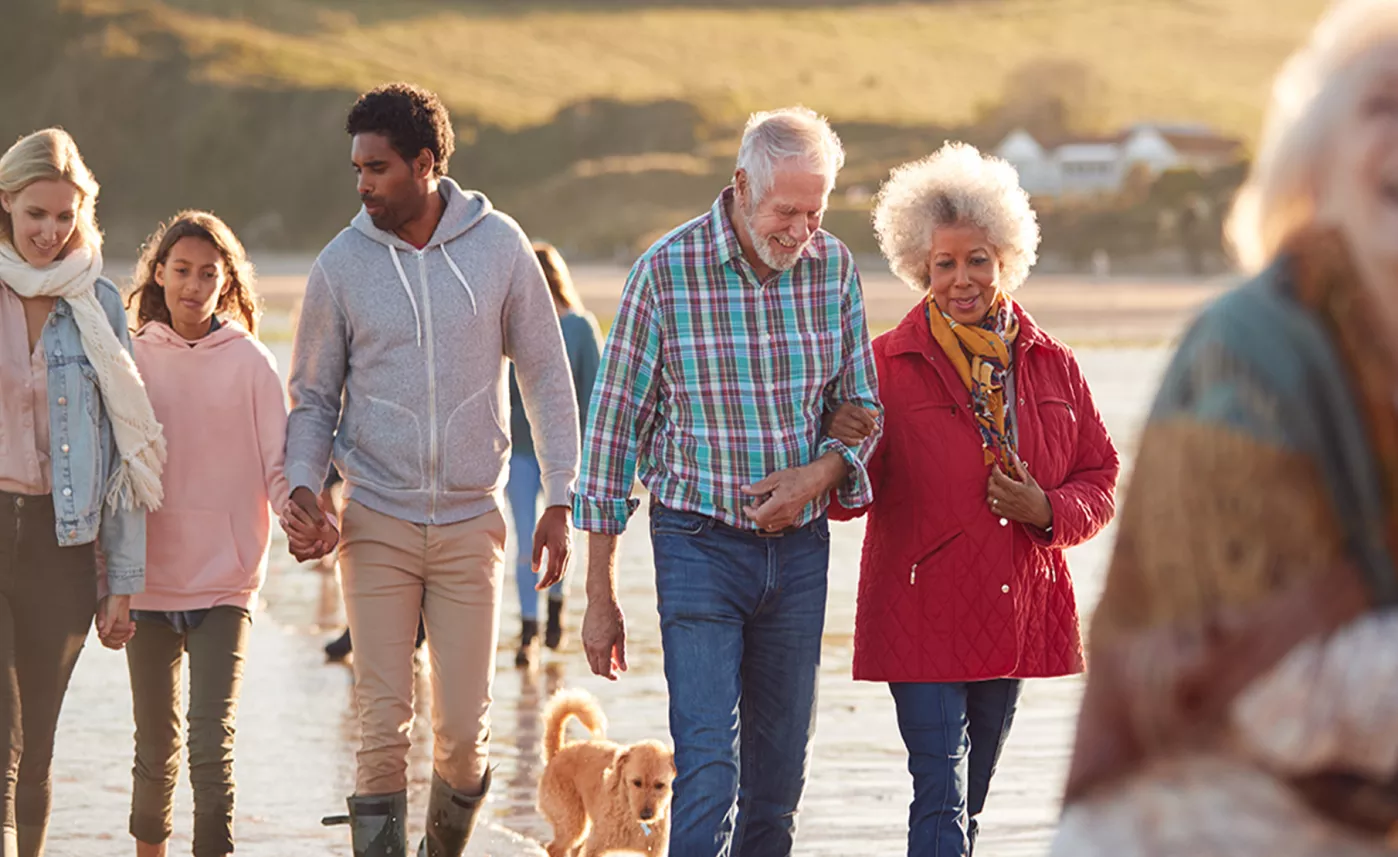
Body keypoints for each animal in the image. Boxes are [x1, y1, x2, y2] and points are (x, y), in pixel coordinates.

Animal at [536, 687, 673, 855]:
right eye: (636, 782)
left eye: (660, 785)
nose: (646, 815)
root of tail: (557, 753)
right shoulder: (595, 845)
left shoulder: (656, 852)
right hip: (572, 821)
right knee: (554, 848)